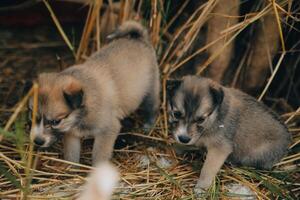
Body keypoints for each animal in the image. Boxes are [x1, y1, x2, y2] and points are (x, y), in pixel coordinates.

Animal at [28, 20, 161, 164]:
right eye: (33, 115)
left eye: (55, 122)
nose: (37, 141)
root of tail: (138, 38)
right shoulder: (71, 135)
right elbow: (71, 155)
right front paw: (71, 167)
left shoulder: (108, 130)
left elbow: (99, 156)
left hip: (150, 92)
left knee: (152, 109)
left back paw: (148, 126)